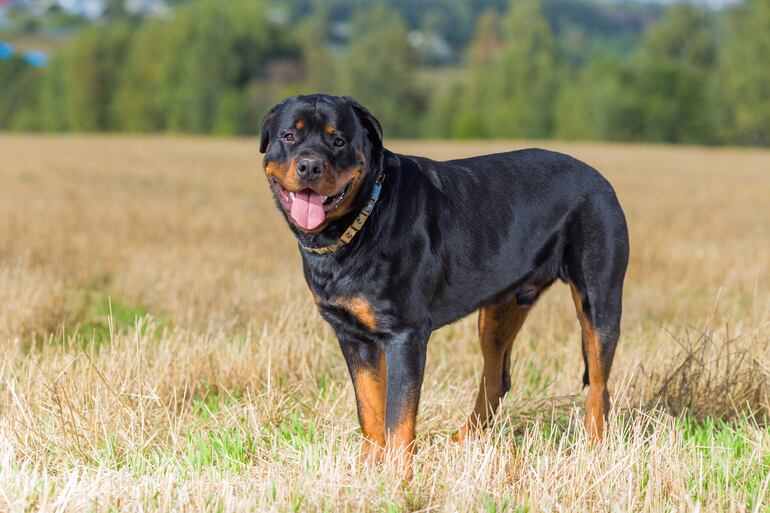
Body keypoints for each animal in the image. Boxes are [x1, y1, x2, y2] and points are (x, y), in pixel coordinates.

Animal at [260, 94, 628, 470]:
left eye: (338, 141)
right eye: (289, 136)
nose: (310, 166)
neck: (360, 222)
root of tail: (599, 179)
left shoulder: (405, 334)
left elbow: (399, 416)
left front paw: (397, 474)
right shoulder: (352, 336)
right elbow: (370, 407)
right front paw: (368, 467)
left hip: (599, 300)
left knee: (598, 387)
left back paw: (594, 452)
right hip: (498, 309)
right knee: (496, 378)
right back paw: (462, 443)